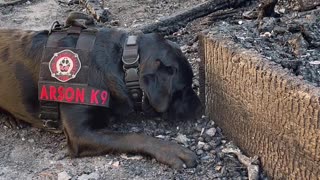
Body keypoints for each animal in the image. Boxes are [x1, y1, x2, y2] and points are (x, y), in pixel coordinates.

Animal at [0, 13, 200, 169]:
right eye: (183, 88)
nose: (200, 106)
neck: (125, 63)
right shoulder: (80, 134)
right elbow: (133, 136)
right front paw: (171, 150)